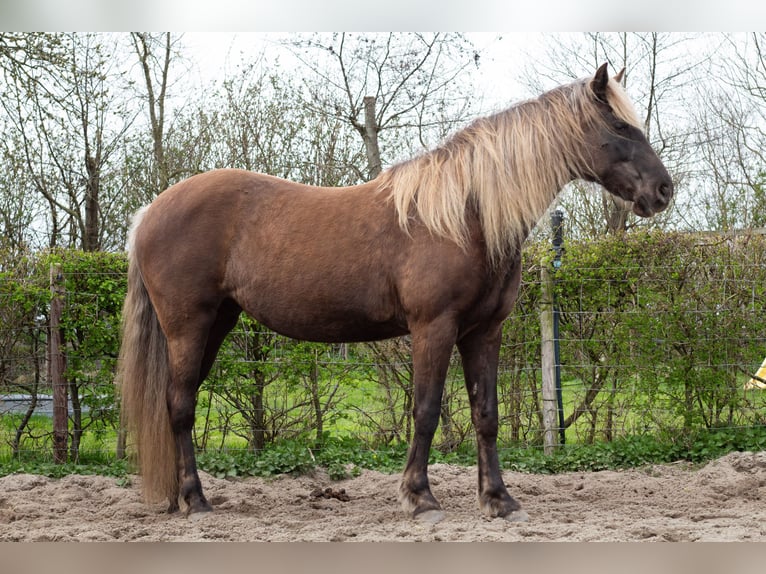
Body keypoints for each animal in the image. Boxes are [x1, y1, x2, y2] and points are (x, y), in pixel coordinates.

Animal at [118, 63, 673, 523]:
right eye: (619, 128)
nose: (663, 191)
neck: (464, 215)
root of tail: (150, 212)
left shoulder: (484, 332)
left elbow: (486, 415)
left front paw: (498, 500)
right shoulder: (434, 328)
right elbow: (425, 411)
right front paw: (420, 499)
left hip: (218, 322)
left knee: (180, 401)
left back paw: (180, 497)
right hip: (188, 325)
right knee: (180, 405)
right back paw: (195, 501)